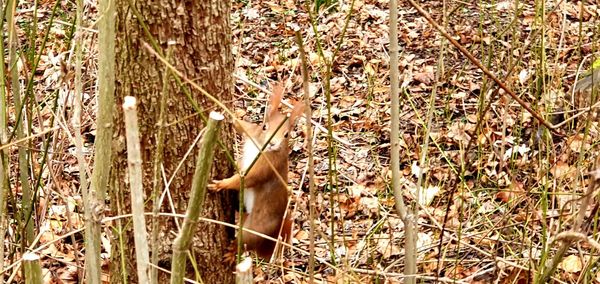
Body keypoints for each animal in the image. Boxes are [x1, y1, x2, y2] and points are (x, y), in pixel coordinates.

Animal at [210, 83, 304, 260]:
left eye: (286, 134)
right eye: (264, 126)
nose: (273, 143)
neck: (260, 146)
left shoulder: (269, 166)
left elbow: (249, 178)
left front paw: (222, 184)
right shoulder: (252, 131)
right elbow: (241, 125)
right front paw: (227, 112)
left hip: (255, 228)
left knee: (245, 241)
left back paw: (232, 252)